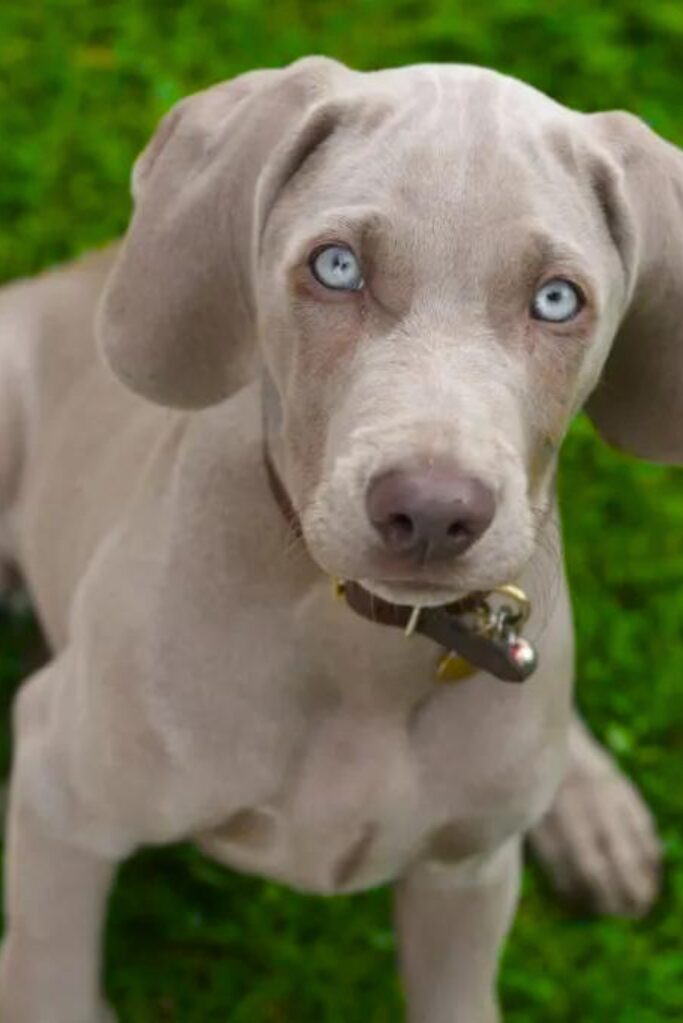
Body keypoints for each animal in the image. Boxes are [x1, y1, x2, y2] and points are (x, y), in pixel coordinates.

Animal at [0, 56, 678, 1023]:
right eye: (336, 266)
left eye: (556, 299)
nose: (431, 513)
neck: (360, 644)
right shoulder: (63, 797)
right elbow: (46, 975)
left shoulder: (466, 881)